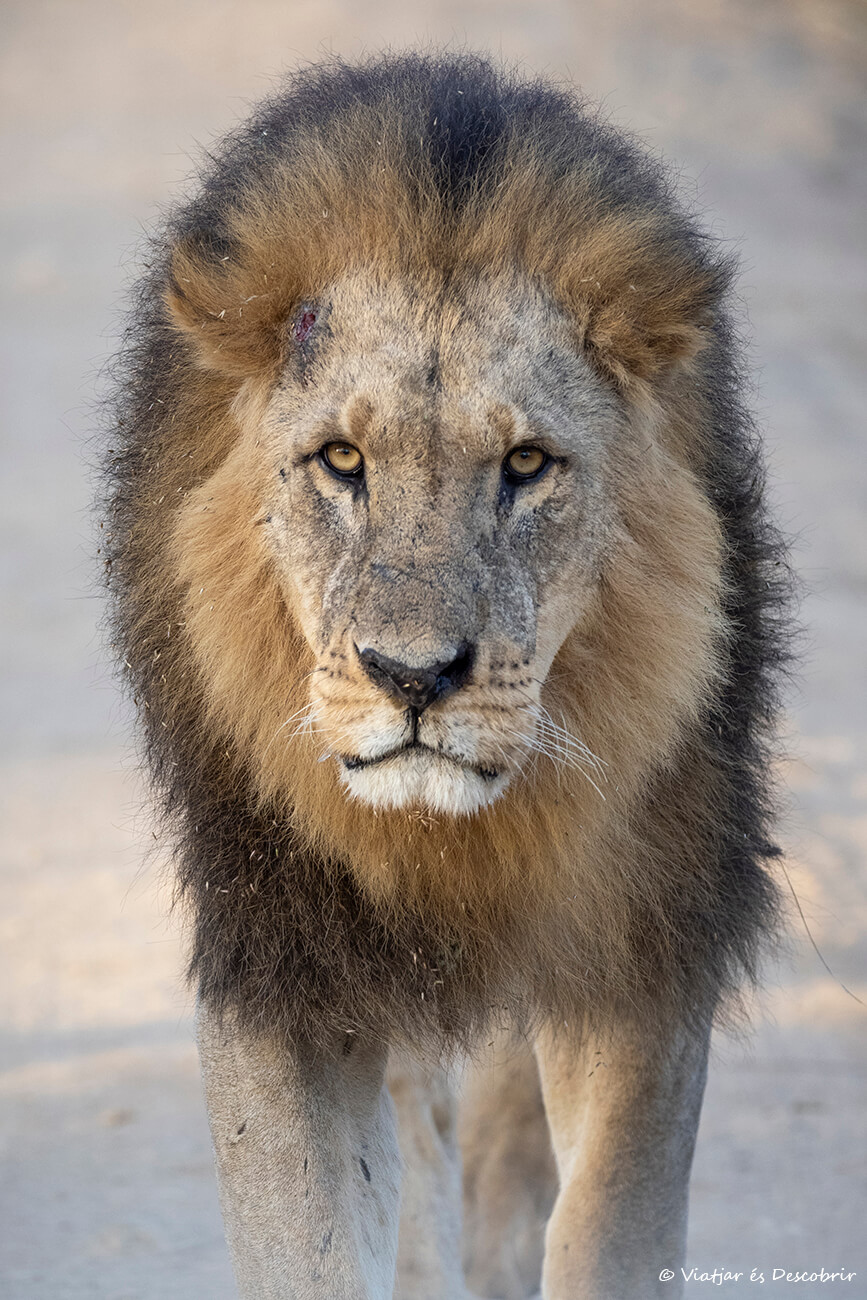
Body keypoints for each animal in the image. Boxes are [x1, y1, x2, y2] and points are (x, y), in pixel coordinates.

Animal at [103, 53, 788, 1300]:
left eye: (526, 464)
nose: (412, 677)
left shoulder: (640, 949)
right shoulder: (285, 961)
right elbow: (311, 1244)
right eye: (341, 460)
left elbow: (610, 1224)